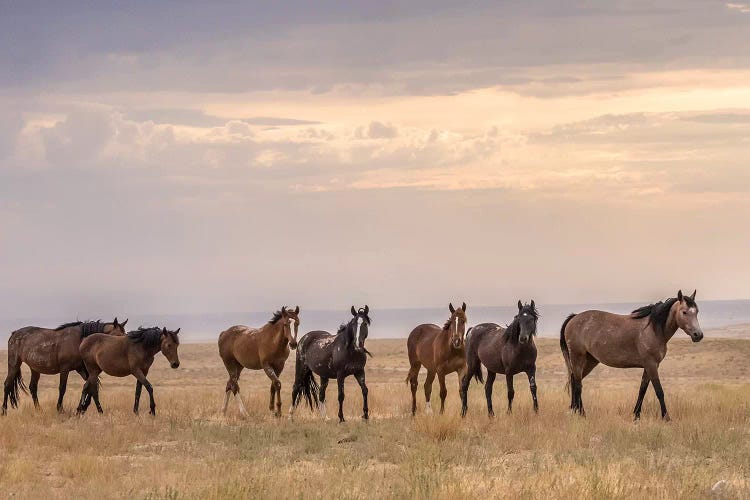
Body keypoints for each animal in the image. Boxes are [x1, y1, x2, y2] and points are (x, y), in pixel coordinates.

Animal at [564, 292, 704, 420]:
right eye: (684, 312)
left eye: (696, 312)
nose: (698, 335)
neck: (653, 330)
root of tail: (573, 318)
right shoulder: (651, 365)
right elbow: (659, 391)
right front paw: (666, 418)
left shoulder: (650, 366)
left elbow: (642, 390)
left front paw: (636, 415)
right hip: (578, 358)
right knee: (578, 384)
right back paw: (581, 413)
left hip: (590, 360)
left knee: (574, 380)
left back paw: (575, 410)